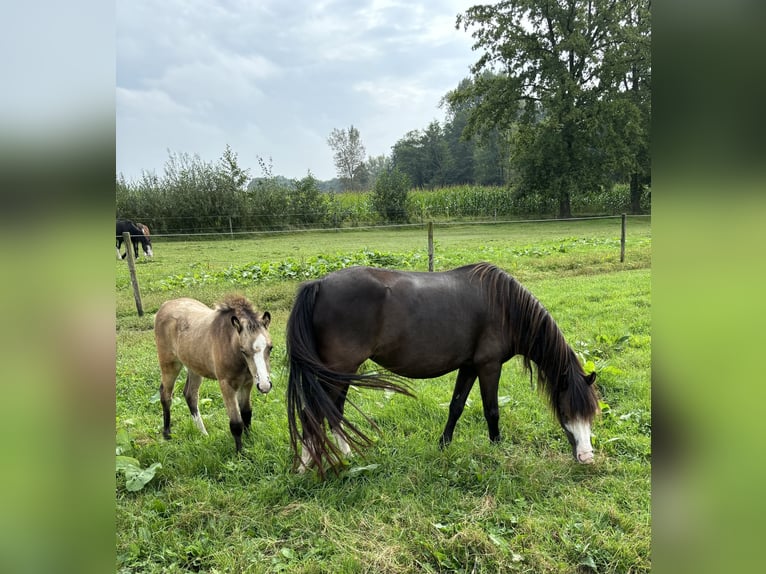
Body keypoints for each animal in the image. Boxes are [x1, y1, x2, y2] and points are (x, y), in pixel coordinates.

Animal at [154, 296, 274, 454]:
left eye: (270, 348)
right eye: (243, 350)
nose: (265, 386)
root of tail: (165, 305)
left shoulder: (247, 383)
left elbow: (247, 413)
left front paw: (250, 441)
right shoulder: (226, 385)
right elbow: (236, 423)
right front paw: (240, 454)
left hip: (194, 367)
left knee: (190, 395)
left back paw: (204, 434)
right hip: (169, 364)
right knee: (166, 395)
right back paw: (167, 435)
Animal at [286, 264, 600, 476]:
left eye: (591, 415)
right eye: (566, 411)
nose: (587, 458)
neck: (506, 307)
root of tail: (319, 284)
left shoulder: (469, 366)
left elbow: (456, 406)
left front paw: (443, 445)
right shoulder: (488, 366)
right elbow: (492, 410)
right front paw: (498, 449)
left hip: (340, 373)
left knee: (331, 411)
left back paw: (345, 456)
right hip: (337, 371)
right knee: (313, 413)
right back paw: (307, 465)